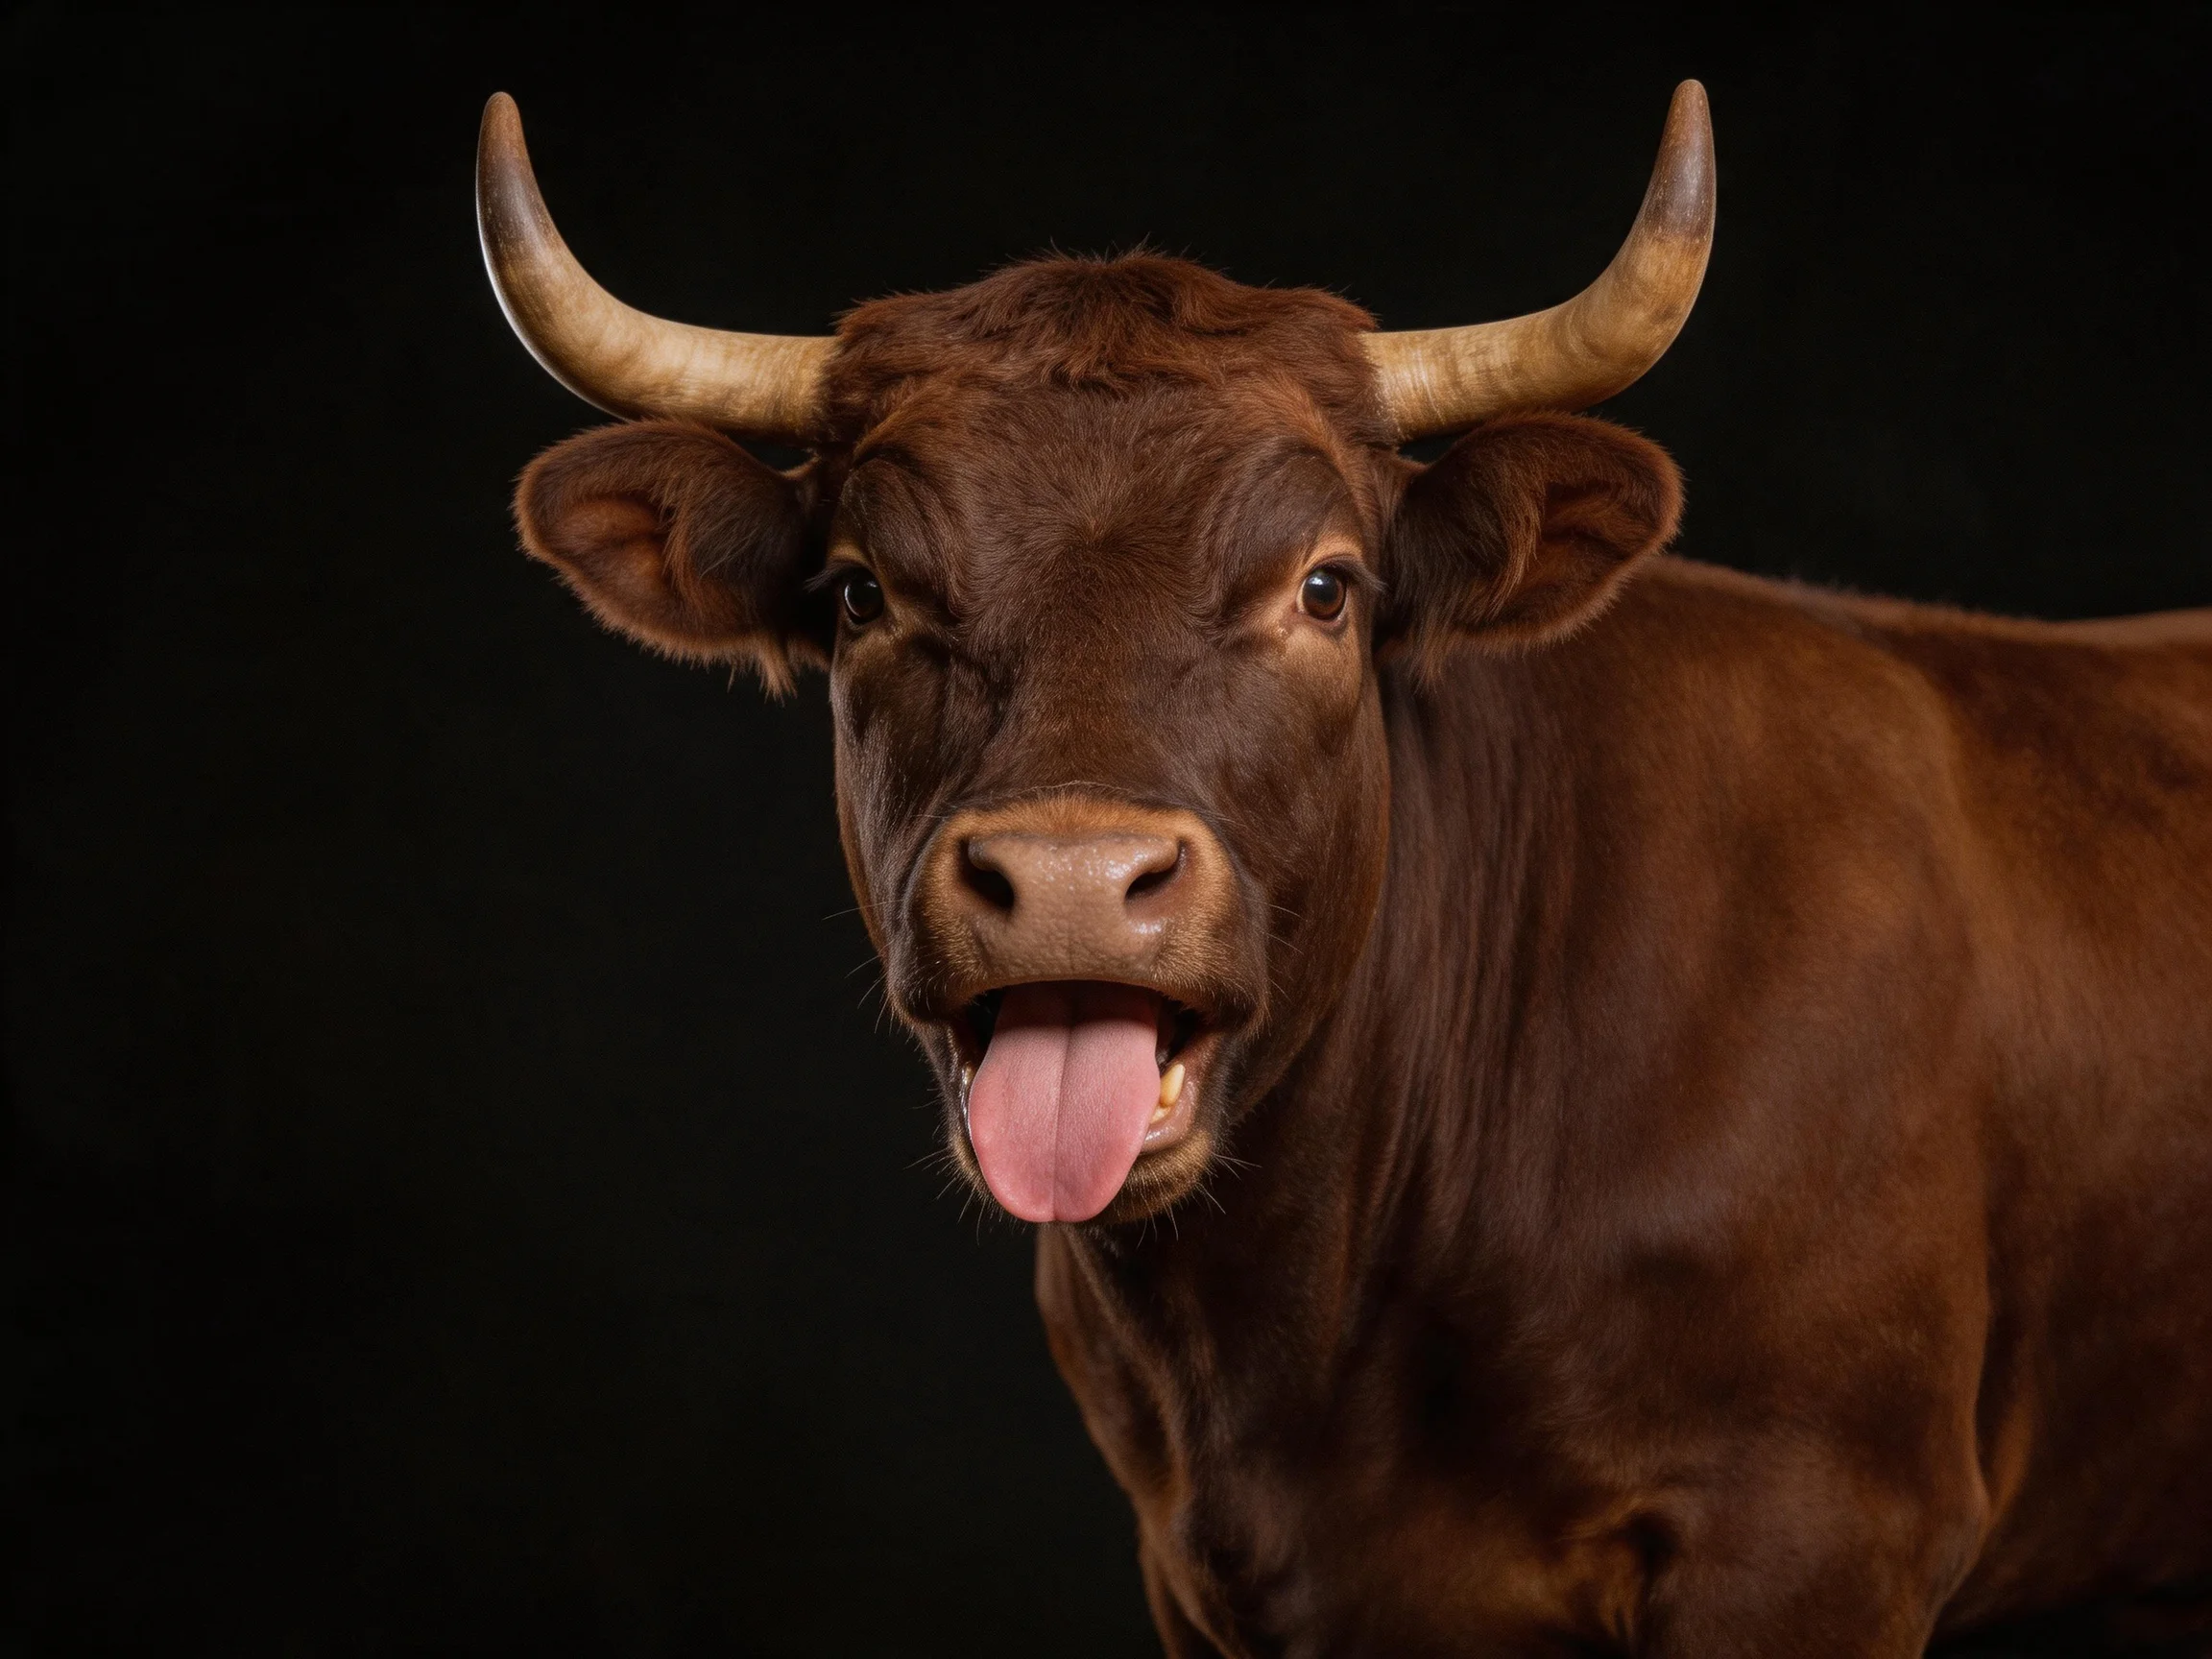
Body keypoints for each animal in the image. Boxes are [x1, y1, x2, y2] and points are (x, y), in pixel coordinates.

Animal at [475, 83, 2212, 1655]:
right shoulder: (1198, 1575)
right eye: (856, 593)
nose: (1071, 875)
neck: (1301, 1359)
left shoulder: (1818, 1531)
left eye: (1323, 587)